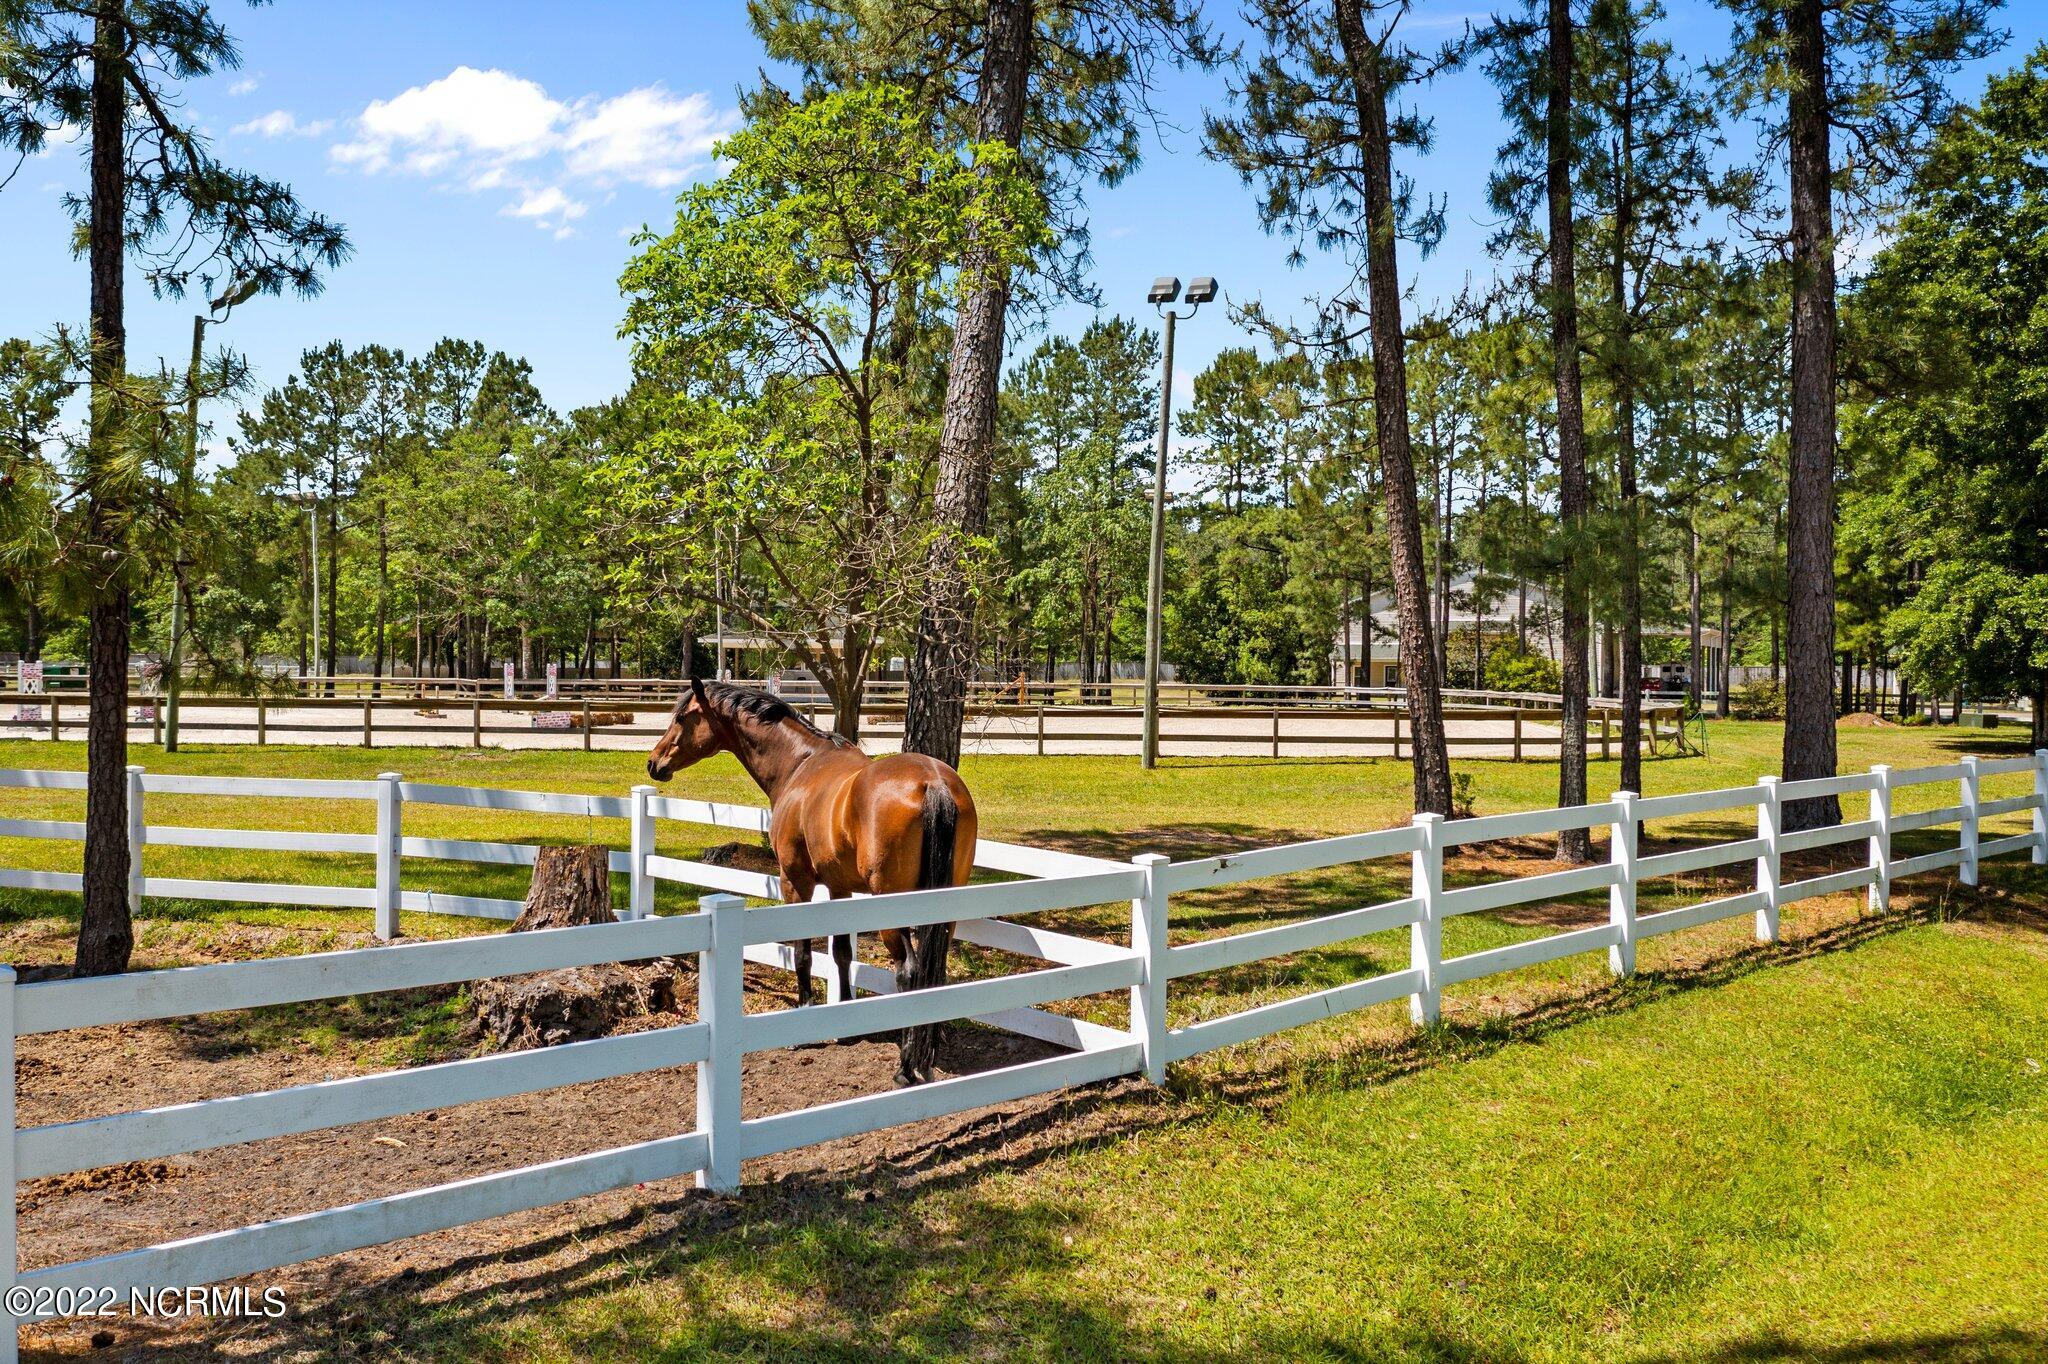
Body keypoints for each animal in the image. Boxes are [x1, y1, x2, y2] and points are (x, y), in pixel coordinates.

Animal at [646, 678, 977, 1084]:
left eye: (683, 717)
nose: (654, 762)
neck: (800, 764)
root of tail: (933, 783)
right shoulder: (839, 888)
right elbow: (841, 953)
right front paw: (845, 1024)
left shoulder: (795, 883)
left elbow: (802, 953)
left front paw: (802, 1021)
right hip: (945, 910)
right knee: (936, 971)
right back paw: (926, 1056)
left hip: (892, 907)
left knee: (909, 973)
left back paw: (906, 1066)